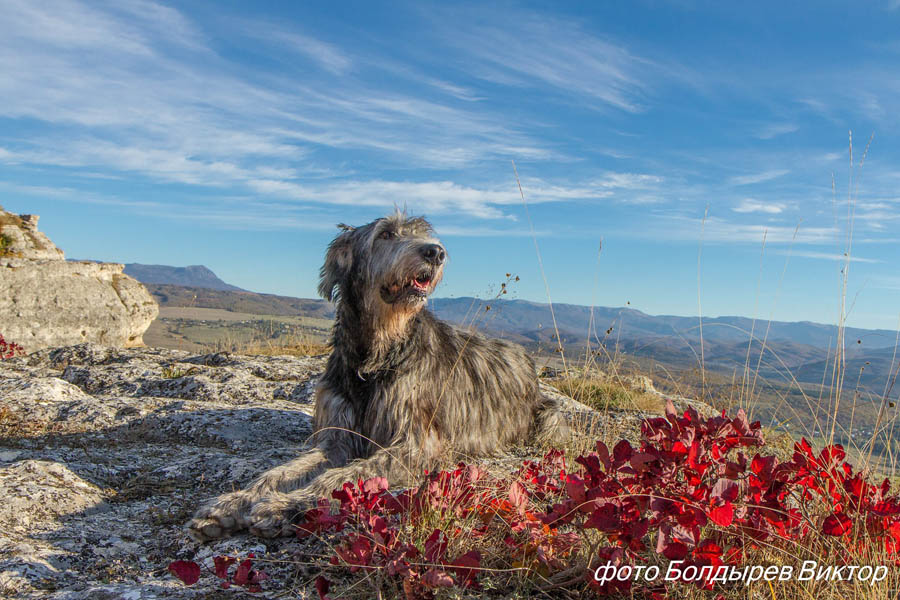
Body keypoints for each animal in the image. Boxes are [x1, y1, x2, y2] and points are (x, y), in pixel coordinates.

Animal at [189, 213, 568, 540]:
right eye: (385, 234)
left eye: (423, 233)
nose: (436, 252)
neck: (376, 353)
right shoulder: (337, 434)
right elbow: (280, 472)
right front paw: (234, 502)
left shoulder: (414, 442)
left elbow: (345, 476)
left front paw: (284, 506)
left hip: (547, 418)